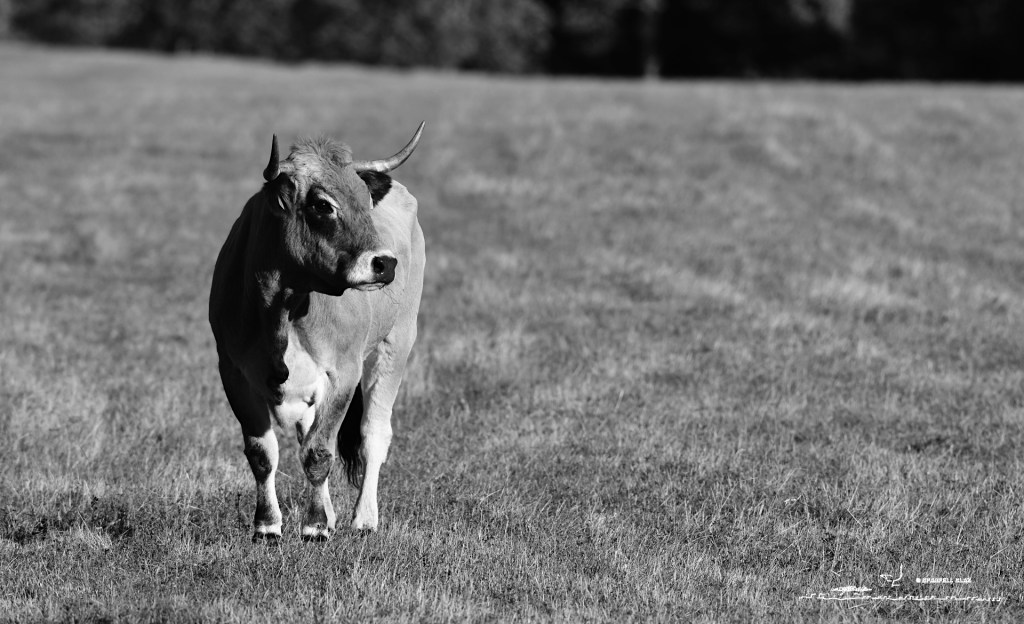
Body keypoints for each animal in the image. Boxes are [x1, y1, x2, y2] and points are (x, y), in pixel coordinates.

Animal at [209, 123, 425, 540]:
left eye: (365, 201)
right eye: (323, 204)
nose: (385, 263)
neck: (283, 305)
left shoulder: (343, 373)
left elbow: (319, 452)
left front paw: (313, 527)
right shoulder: (233, 372)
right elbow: (262, 454)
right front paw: (268, 525)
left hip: (396, 343)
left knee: (373, 434)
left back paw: (363, 518)